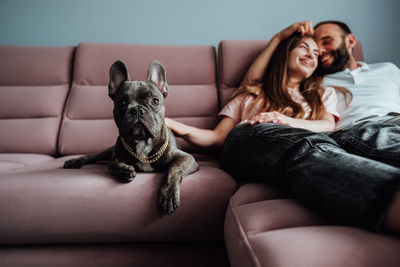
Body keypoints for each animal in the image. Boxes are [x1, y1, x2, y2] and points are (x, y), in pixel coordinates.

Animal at [64, 59, 200, 215]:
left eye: (155, 101)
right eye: (121, 102)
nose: (137, 110)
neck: (143, 142)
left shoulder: (186, 158)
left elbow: (172, 170)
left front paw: (168, 194)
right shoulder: (115, 156)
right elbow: (112, 164)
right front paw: (124, 171)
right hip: (109, 150)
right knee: (93, 156)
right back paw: (74, 161)